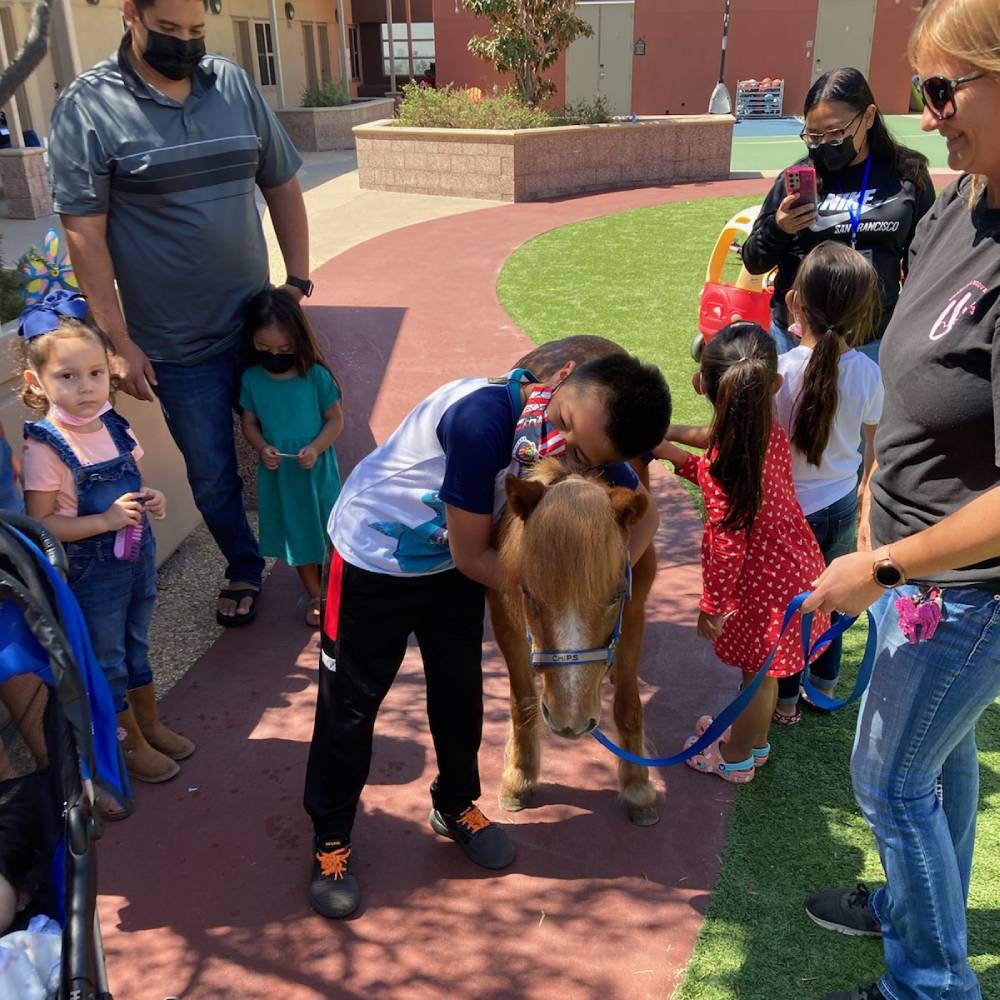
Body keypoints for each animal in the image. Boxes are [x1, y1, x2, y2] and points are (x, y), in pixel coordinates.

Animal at [490, 460, 660, 828]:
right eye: (529, 593)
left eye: (614, 597)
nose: (571, 719)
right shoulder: (504, 612)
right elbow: (522, 702)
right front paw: (520, 775)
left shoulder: (633, 612)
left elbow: (628, 706)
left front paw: (638, 788)